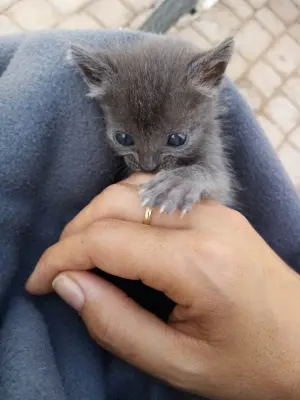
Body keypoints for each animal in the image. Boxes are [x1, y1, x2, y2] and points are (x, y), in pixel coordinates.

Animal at [69, 34, 234, 216]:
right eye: (123, 138)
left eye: (177, 139)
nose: (148, 166)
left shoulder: (211, 145)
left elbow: (217, 179)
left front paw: (178, 181)